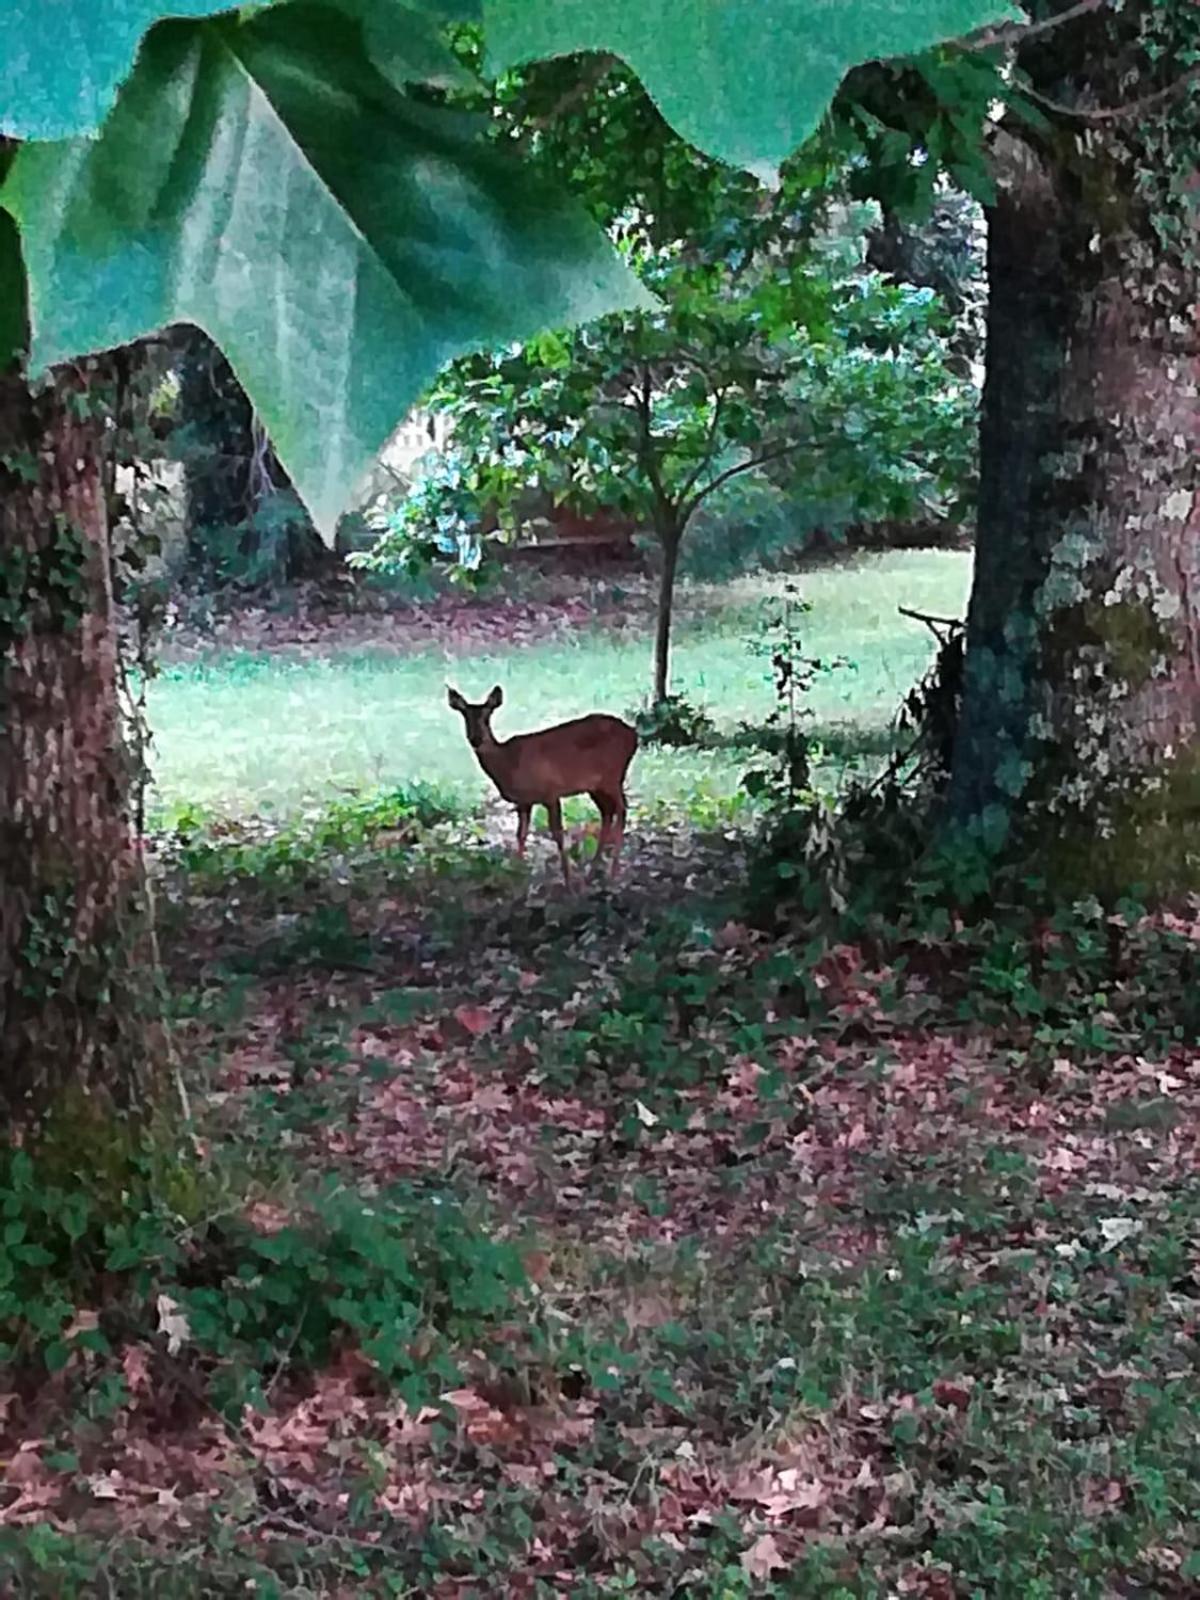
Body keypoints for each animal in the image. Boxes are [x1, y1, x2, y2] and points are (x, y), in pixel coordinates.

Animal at [451, 681, 640, 889]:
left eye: (487, 717)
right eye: (465, 716)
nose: (476, 739)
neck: (508, 763)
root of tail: (634, 735)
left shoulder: (551, 792)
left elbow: (557, 834)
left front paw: (568, 880)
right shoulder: (524, 801)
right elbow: (521, 834)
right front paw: (516, 873)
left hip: (613, 775)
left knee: (622, 810)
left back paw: (613, 873)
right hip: (596, 786)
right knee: (608, 812)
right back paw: (592, 872)